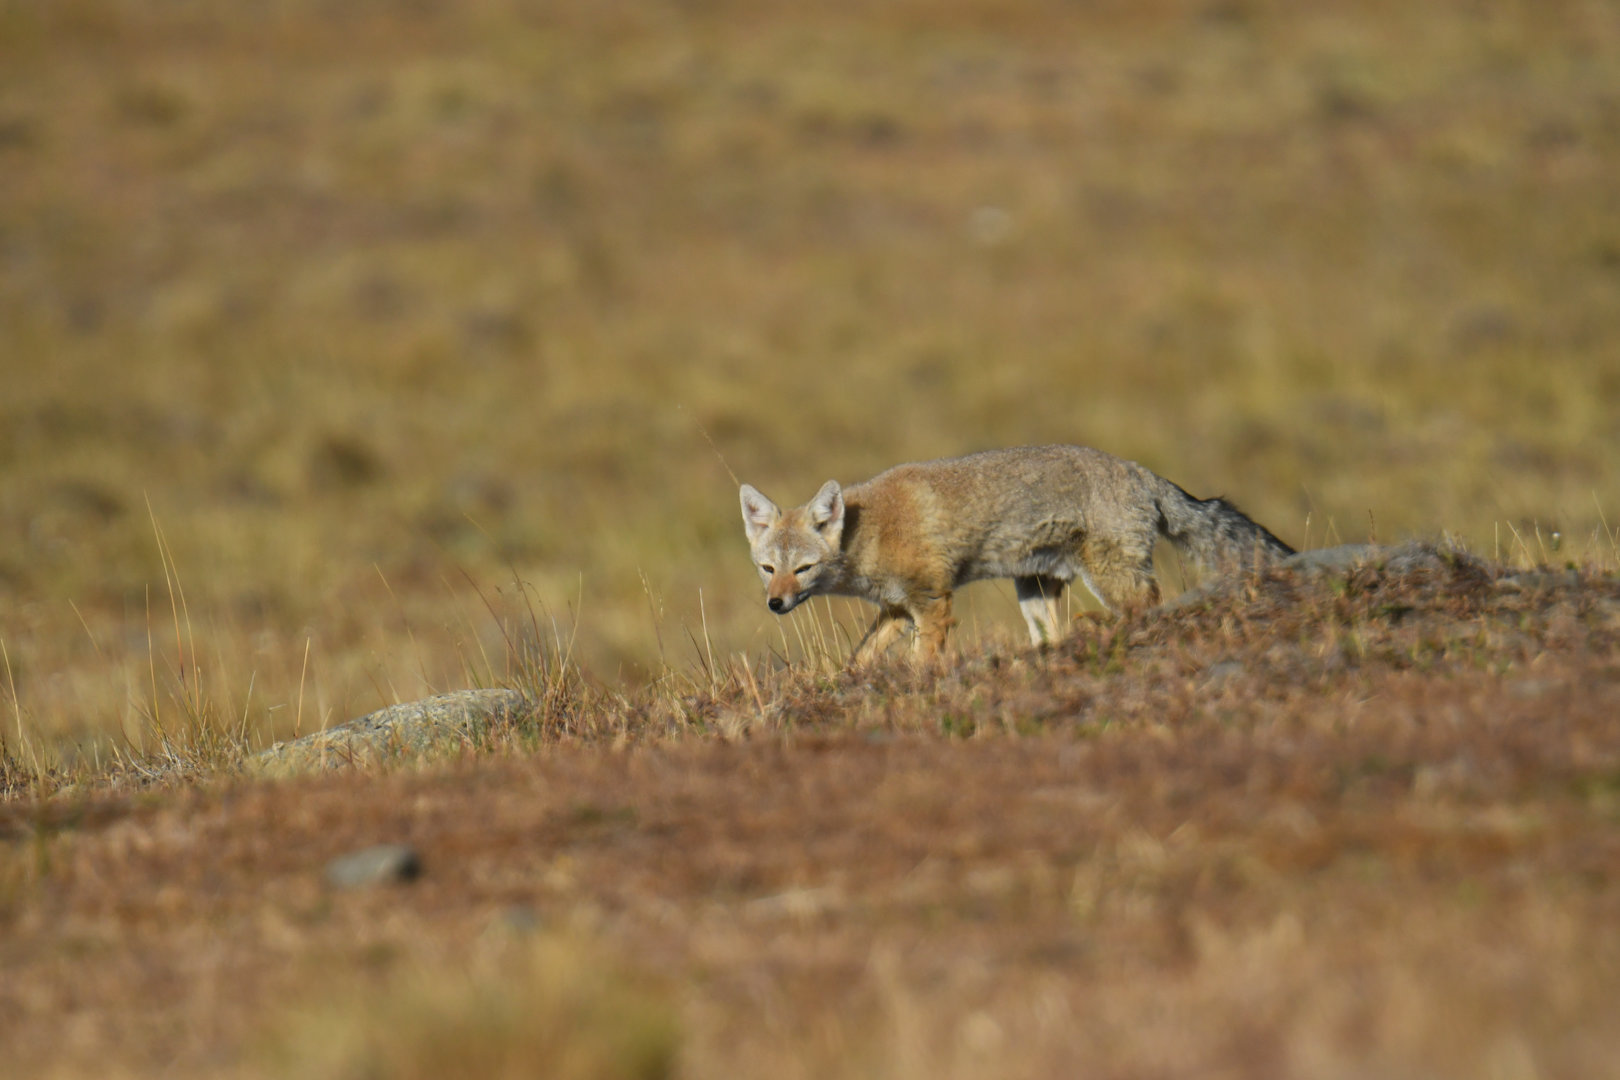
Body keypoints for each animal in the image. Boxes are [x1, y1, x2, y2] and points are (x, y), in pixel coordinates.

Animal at [739, 444, 1294, 665]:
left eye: (803, 569)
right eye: (768, 569)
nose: (774, 604)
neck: (870, 530)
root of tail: (1143, 472)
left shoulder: (933, 603)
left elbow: (921, 663)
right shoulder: (897, 608)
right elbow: (861, 659)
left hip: (1113, 581)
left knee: (1150, 608)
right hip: (1034, 593)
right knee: (1053, 635)